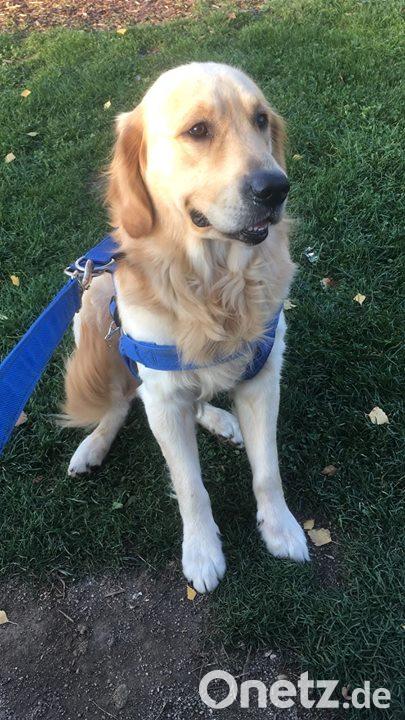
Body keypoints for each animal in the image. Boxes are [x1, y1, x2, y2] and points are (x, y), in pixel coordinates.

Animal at [63, 62, 309, 592]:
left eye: (261, 119)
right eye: (198, 130)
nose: (275, 187)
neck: (215, 283)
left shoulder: (264, 377)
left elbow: (268, 471)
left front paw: (280, 529)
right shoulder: (161, 393)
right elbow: (190, 486)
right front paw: (201, 552)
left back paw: (220, 420)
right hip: (90, 304)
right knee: (122, 400)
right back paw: (92, 447)